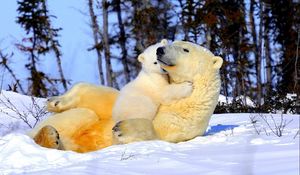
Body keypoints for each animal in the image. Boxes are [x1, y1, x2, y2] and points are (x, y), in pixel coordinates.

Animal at [28, 40, 223, 152]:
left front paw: (122, 128)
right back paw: (49, 132)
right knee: (83, 114)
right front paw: (56, 102)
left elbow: (158, 131)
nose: (160, 50)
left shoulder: (184, 119)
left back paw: (51, 138)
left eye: (185, 49)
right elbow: (102, 99)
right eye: (172, 42)